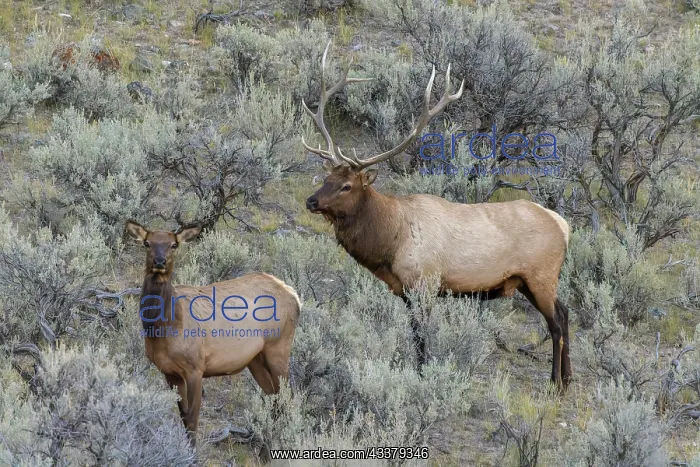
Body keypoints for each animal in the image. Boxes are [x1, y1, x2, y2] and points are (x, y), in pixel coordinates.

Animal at [125, 220, 302, 447]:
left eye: (174, 245)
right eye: (147, 243)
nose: (159, 261)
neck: (164, 328)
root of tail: (295, 296)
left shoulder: (195, 367)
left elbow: (192, 419)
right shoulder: (169, 372)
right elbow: (183, 416)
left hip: (279, 347)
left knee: (287, 400)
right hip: (255, 359)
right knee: (274, 400)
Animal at [301, 42, 572, 390]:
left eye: (347, 185)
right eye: (327, 178)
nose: (311, 201)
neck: (390, 243)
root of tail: (563, 225)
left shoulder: (425, 283)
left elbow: (421, 338)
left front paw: (422, 376)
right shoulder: (404, 291)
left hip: (541, 275)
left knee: (557, 321)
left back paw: (556, 382)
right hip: (532, 281)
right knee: (566, 312)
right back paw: (569, 378)